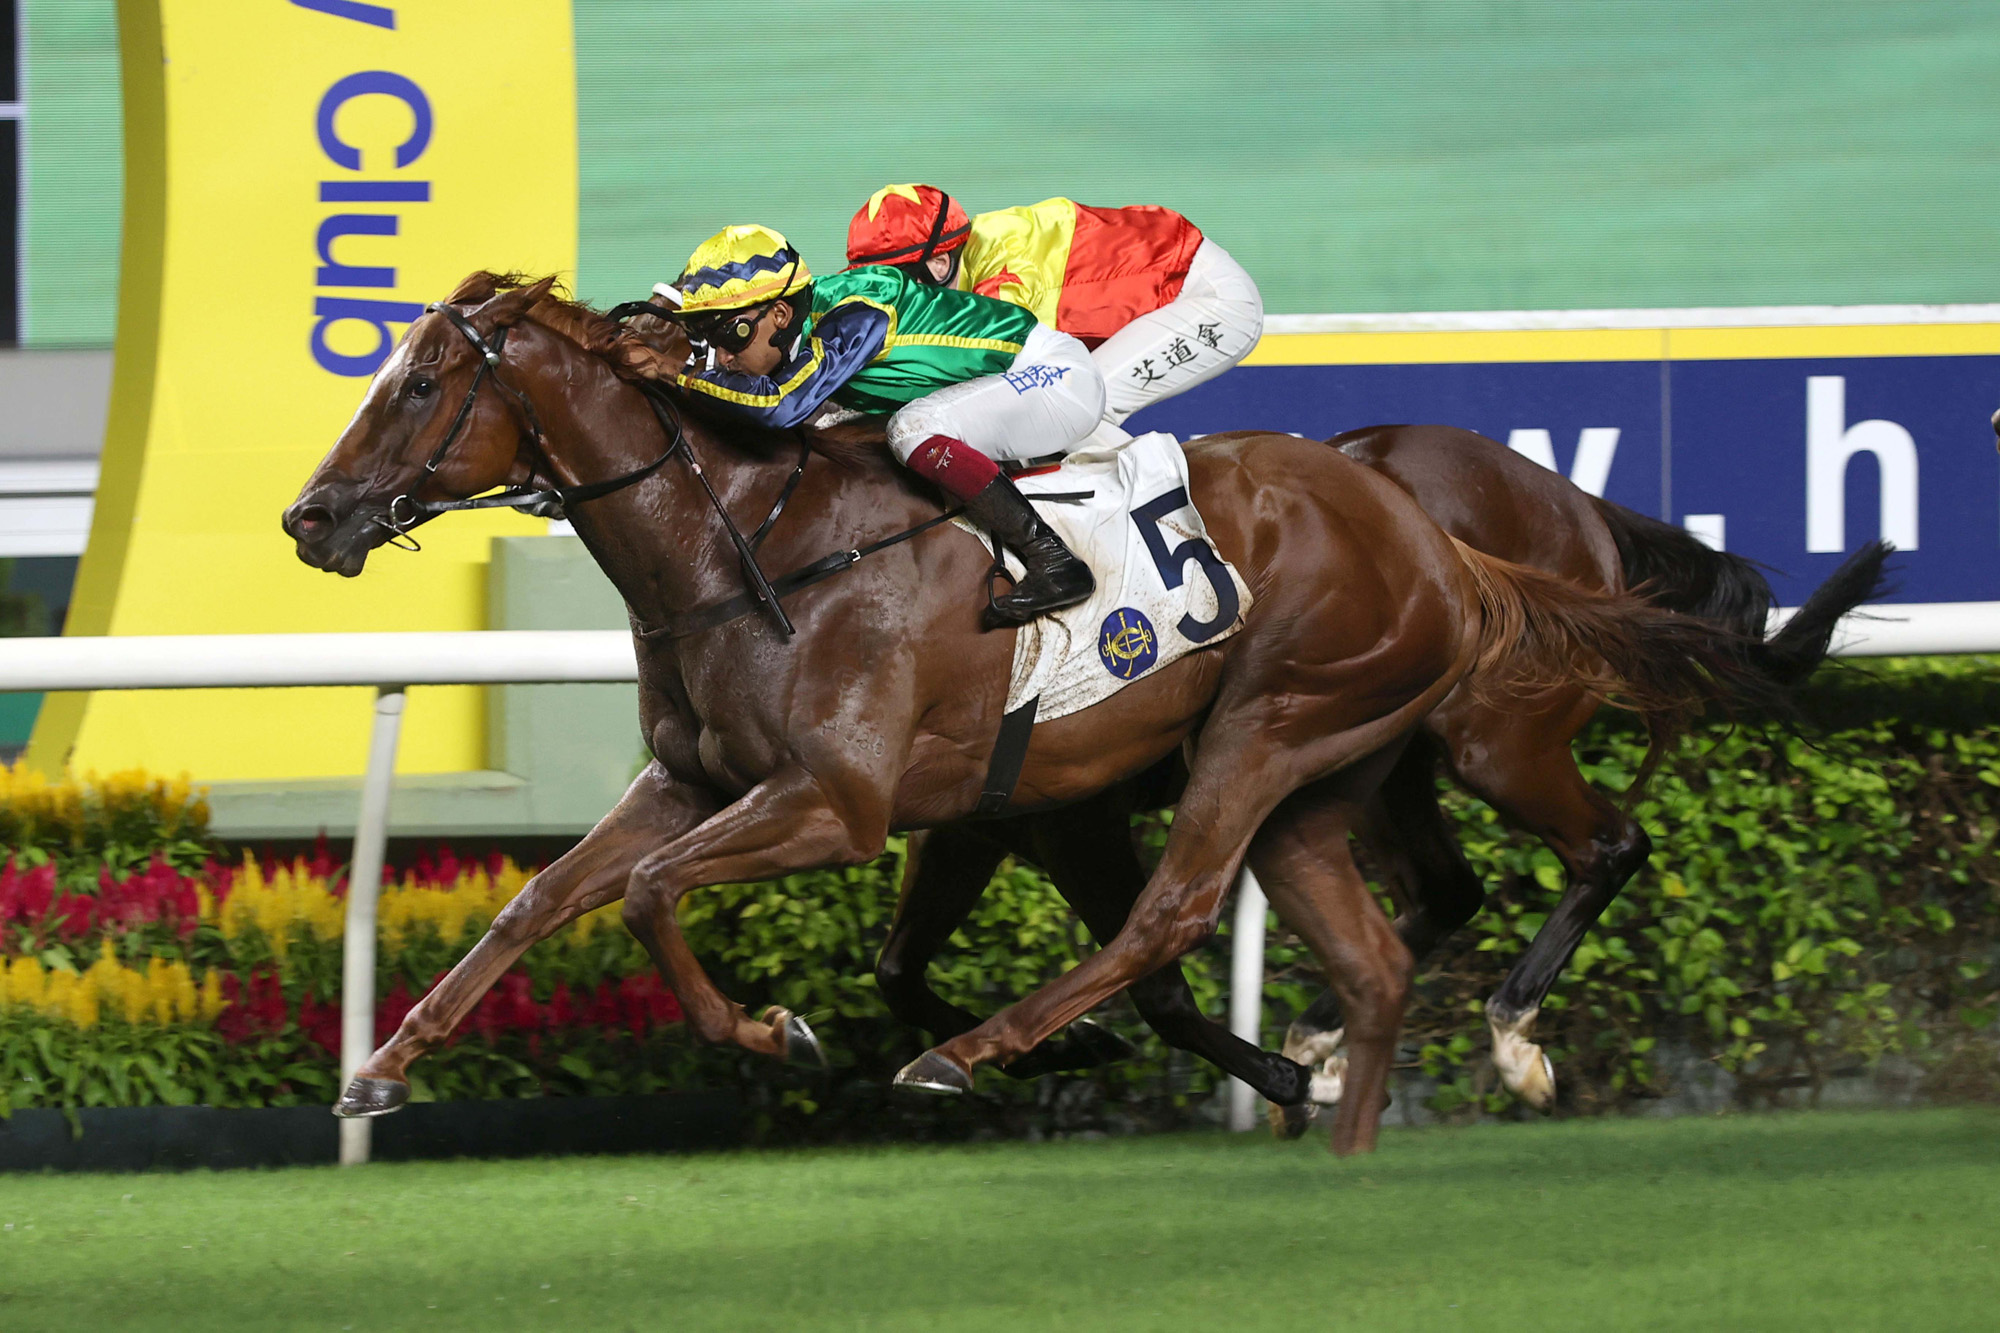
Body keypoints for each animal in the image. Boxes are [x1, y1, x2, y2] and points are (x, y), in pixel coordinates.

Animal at [283, 272, 1777, 1155]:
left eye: (419, 384)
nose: (311, 517)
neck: (750, 543)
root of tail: (1441, 536)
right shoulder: (746, 786)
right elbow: (539, 901)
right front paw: (380, 1070)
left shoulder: (839, 801)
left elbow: (652, 894)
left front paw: (781, 1033)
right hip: (1330, 768)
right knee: (1369, 931)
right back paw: (1318, 1072)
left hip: (1330, 725)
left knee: (1197, 907)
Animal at [869, 426, 1891, 1130]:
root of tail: (1575, 503)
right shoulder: (974, 822)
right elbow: (895, 968)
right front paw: (1058, 1047)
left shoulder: (1078, 817)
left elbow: (1153, 971)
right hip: (1387, 754)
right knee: (1449, 887)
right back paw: (1324, 1038)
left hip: (1495, 735)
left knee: (1610, 843)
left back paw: (1511, 1037)